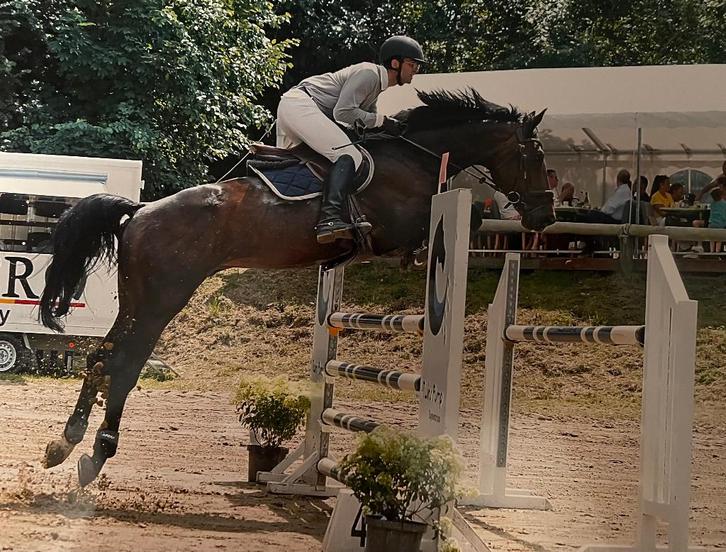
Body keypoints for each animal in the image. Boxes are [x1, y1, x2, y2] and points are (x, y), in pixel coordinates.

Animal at [39, 89, 554, 486]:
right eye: (537, 157)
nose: (545, 217)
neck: (414, 157)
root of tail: (140, 210)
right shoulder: (400, 225)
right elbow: (456, 226)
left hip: (137, 297)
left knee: (99, 357)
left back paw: (64, 445)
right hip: (163, 298)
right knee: (123, 365)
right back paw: (96, 452)